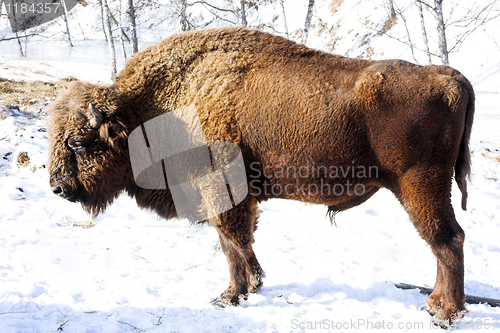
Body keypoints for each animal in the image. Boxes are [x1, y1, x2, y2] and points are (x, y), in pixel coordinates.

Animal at [48, 26, 474, 326]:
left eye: (79, 143)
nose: (58, 187)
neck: (148, 111)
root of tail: (449, 79)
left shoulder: (221, 192)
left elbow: (231, 243)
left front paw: (230, 295)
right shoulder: (240, 199)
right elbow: (237, 243)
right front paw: (250, 286)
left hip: (419, 187)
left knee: (446, 240)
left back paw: (443, 312)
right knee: (445, 242)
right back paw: (436, 306)